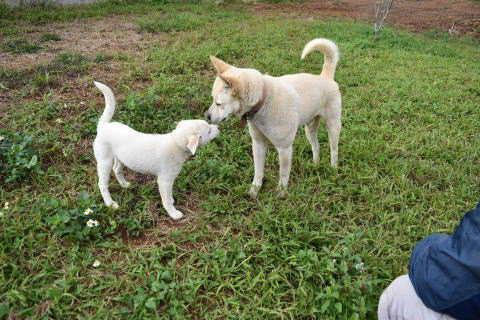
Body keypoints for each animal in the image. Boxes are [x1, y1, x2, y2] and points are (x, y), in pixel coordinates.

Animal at [92, 81, 219, 219]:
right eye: (209, 131)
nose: (218, 127)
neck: (176, 142)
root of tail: (103, 126)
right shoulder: (165, 180)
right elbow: (166, 199)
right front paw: (173, 213)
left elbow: (169, 195)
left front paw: (172, 201)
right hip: (104, 161)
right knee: (102, 184)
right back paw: (110, 203)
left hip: (120, 157)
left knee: (117, 169)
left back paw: (124, 184)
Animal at [203, 37, 342, 198]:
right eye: (213, 100)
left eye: (218, 103)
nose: (206, 116)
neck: (264, 98)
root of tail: (325, 76)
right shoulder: (258, 144)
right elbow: (258, 172)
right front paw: (254, 191)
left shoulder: (284, 148)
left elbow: (283, 175)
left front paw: (281, 194)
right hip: (310, 128)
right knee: (316, 146)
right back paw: (315, 164)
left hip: (333, 126)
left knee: (334, 150)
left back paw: (333, 169)